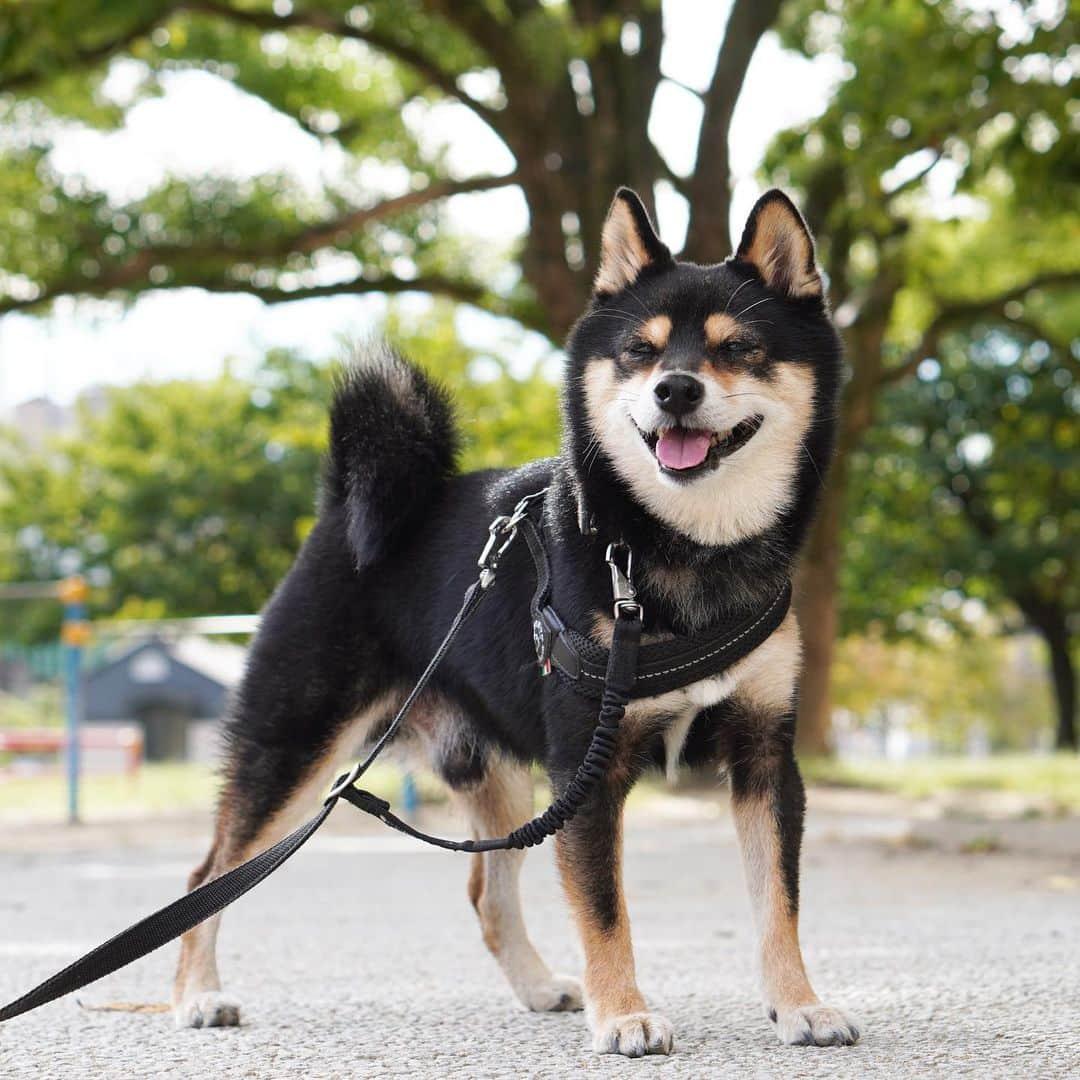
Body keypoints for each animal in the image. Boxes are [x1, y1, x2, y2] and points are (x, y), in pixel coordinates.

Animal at [170, 185, 859, 1054]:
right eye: (639, 351)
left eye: (738, 347)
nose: (675, 389)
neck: (677, 551)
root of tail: (348, 508)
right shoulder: (588, 765)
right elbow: (604, 909)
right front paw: (625, 1014)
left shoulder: (765, 756)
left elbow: (779, 903)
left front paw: (799, 1003)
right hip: (295, 744)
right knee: (209, 875)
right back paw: (197, 996)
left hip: (493, 771)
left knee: (486, 892)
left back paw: (537, 987)